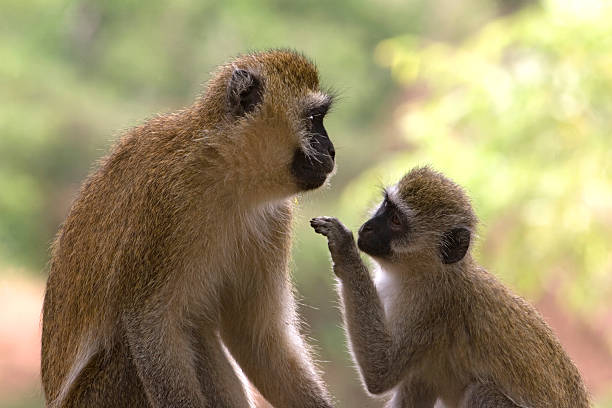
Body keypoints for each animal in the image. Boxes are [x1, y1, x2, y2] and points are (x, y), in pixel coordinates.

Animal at [41, 50, 340, 408]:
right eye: (313, 118)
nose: (332, 150)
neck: (224, 170)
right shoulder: (166, 203)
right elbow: (152, 327)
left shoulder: (274, 218)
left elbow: (258, 337)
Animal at [314, 167, 592, 408]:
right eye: (386, 206)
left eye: (395, 221)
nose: (367, 227)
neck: (427, 273)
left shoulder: (432, 306)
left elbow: (381, 371)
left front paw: (345, 251)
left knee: (481, 393)